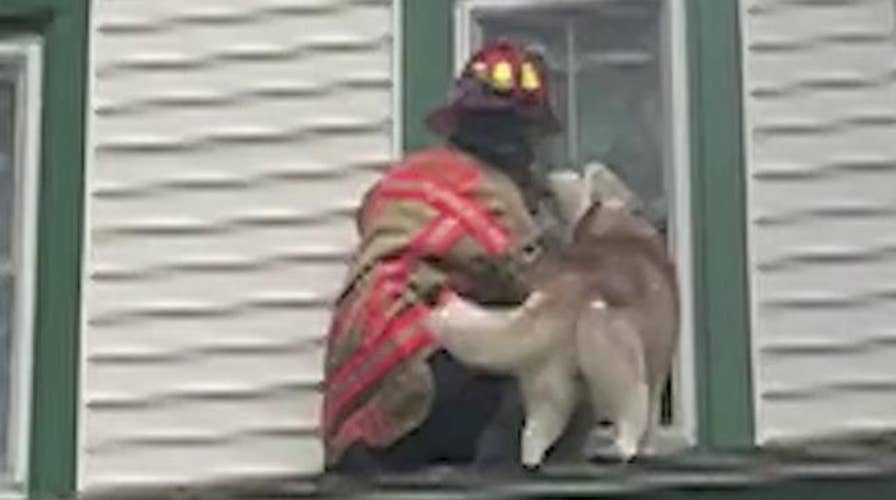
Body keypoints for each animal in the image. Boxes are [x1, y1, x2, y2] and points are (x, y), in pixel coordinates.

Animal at [428, 189, 680, 466]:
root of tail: (567, 286)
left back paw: (532, 460)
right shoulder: (658, 368)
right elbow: (652, 416)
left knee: (534, 433)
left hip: (549, 383)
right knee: (630, 411)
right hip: (619, 360)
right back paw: (622, 448)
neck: (621, 232)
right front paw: (648, 448)